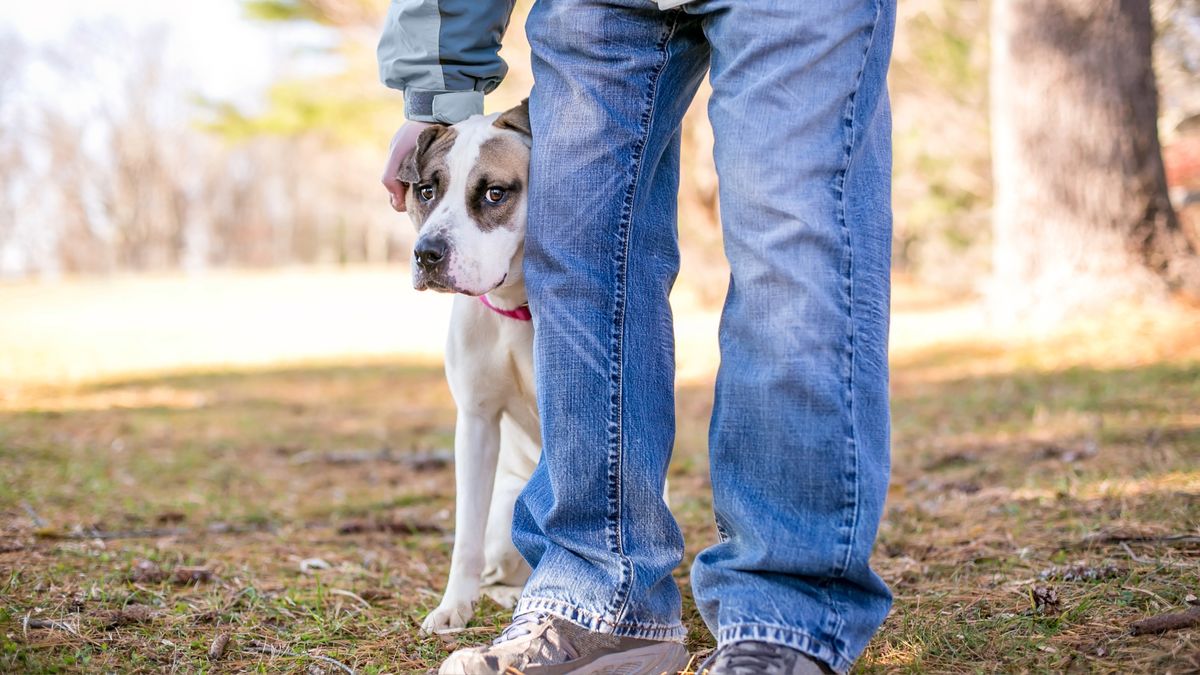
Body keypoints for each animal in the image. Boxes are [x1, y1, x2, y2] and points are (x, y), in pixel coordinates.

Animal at [400, 98, 537, 629]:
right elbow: (466, 536)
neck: (517, 306)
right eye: (426, 190)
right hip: (506, 518)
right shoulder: (477, 422)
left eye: (495, 193)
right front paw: (453, 606)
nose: (427, 254)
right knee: (500, 568)